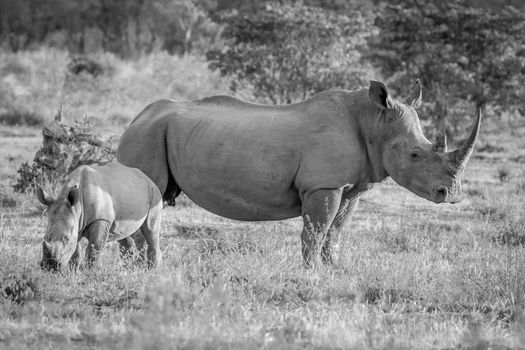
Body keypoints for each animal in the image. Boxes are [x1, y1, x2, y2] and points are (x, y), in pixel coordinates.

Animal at [117, 80, 478, 266]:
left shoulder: (350, 187)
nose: (451, 195)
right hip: (147, 135)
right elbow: (315, 232)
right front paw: (311, 274)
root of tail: (136, 118)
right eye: (415, 154)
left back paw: (135, 268)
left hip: (153, 132)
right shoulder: (324, 185)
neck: (374, 123)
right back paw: (143, 269)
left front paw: (334, 271)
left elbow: (335, 232)